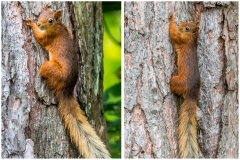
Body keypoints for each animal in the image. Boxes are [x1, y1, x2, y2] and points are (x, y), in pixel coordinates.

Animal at [26, 5, 111, 158]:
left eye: (50, 20)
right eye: (41, 14)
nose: (39, 23)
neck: (58, 27)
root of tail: (67, 89)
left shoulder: (48, 37)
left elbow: (39, 37)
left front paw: (31, 24)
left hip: (49, 68)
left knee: (43, 71)